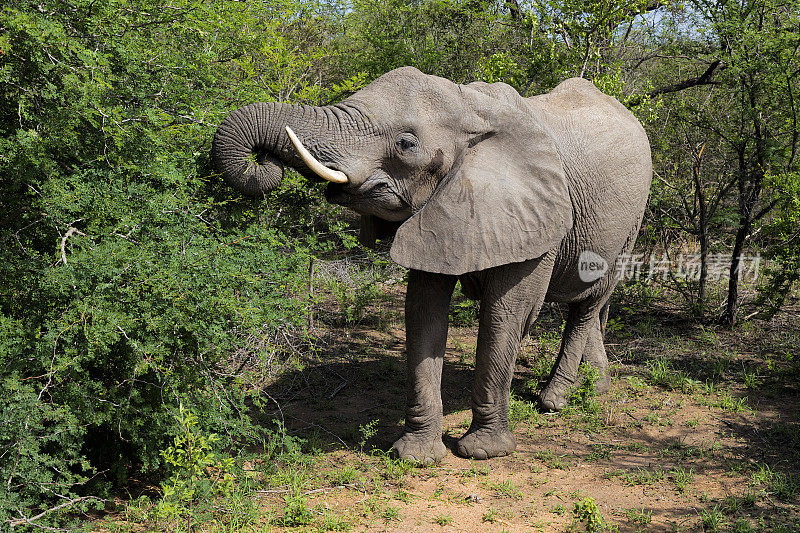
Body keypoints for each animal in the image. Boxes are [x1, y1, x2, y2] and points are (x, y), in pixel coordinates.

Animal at [212, 66, 648, 464]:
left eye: (406, 144)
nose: (263, 159)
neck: (472, 106)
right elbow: (423, 310)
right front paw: (416, 456)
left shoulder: (537, 216)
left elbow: (507, 314)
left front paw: (483, 452)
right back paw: (595, 387)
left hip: (630, 222)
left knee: (588, 302)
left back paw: (555, 400)